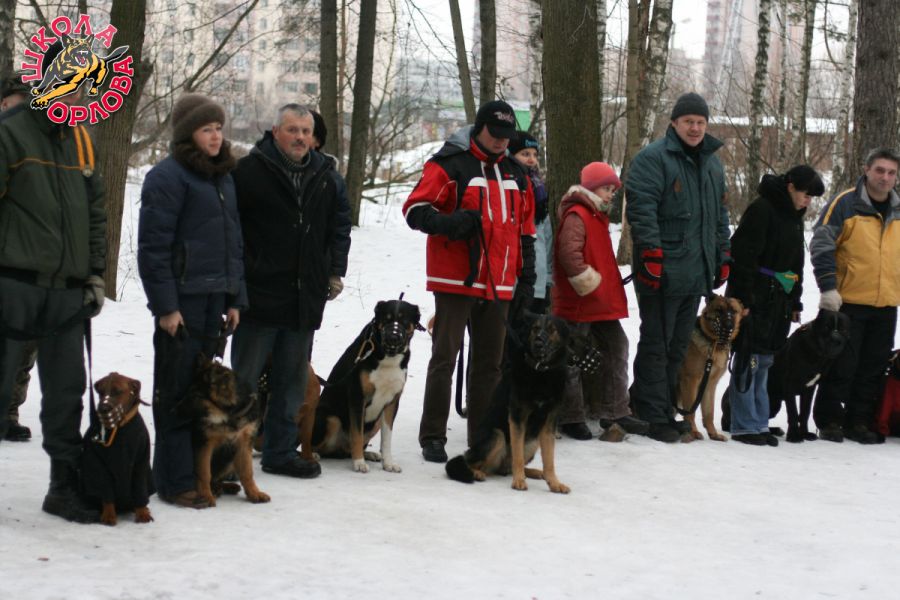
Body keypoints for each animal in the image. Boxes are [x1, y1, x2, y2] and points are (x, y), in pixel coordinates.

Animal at [79, 373, 154, 526]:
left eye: (117, 391)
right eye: (100, 392)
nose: (102, 409)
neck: (119, 427)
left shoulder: (141, 460)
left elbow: (140, 487)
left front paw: (142, 513)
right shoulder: (98, 462)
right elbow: (106, 489)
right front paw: (108, 515)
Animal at [181, 357, 269, 506]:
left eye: (195, 396)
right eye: (188, 392)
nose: (171, 411)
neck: (229, 415)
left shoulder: (244, 443)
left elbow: (247, 472)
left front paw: (254, 493)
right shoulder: (204, 444)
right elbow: (204, 472)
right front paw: (206, 496)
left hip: (230, 459)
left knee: (217, 479)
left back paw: (224, 487)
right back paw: (214, 490)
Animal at [307, 298, 424, 473]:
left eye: (404, 320)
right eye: (386, 318)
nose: (393, 337)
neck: (386, 356)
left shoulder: (392, 403)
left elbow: (387, 439)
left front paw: (388, 463)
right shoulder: (357, 397)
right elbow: (357, 434)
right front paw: (359, 463)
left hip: (375, 423)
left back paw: (369, 454)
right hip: (331, 418)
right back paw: (313, 455)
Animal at [445, 312, 574, 493]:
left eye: (551, 330)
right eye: (535, 328)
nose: (538, 343)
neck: (541, 372)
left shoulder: (549, 422)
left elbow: (549, 459)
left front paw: (554, 483)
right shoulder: (518, 417)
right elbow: (517, 455)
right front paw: (519, 480)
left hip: (533, 441)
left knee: (505, 467)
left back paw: (535, 472)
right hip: (497, 436)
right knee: (474, 463)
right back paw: (478, 473)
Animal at [675, 294, 744, 442]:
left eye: (734, 311)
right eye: (719, 310)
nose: (728, 326)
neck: (714, 344)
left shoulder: (710, 384)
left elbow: (709, 412)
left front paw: (713, 433)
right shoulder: (691, 381)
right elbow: (690, 410)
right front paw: (693, 431)